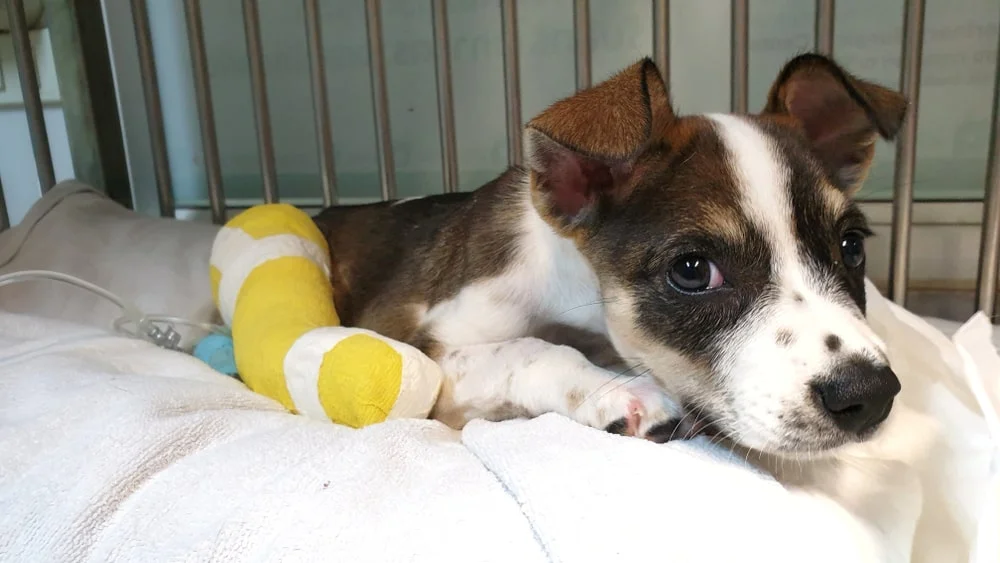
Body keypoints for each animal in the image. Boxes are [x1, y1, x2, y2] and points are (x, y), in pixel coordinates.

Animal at [316, 53, 912, 458]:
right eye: (693, 271)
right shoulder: (420, 351)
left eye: (851, 246)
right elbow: (527, 349)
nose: (871, 395)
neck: (580, 301)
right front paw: (622, 391)